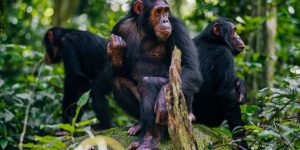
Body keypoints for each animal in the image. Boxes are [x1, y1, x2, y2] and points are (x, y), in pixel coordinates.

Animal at [108, 0, 202, 149]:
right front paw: (117, 50)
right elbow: (118, 73)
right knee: (118, 81)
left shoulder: (177, 28)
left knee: (148, 83)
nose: (165, 20)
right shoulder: (120, 28)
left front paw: (163, 99)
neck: (146, 30)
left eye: (165, 11)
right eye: (158, 11)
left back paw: (150, 140)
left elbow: (190, 68)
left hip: (184, 111)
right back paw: (141, 126)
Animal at [192, 17, 248, 149]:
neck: (212, 40)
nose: (239, 37)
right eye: (234, 31)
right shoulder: (225, 55)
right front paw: (242, 143)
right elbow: (228, 96)